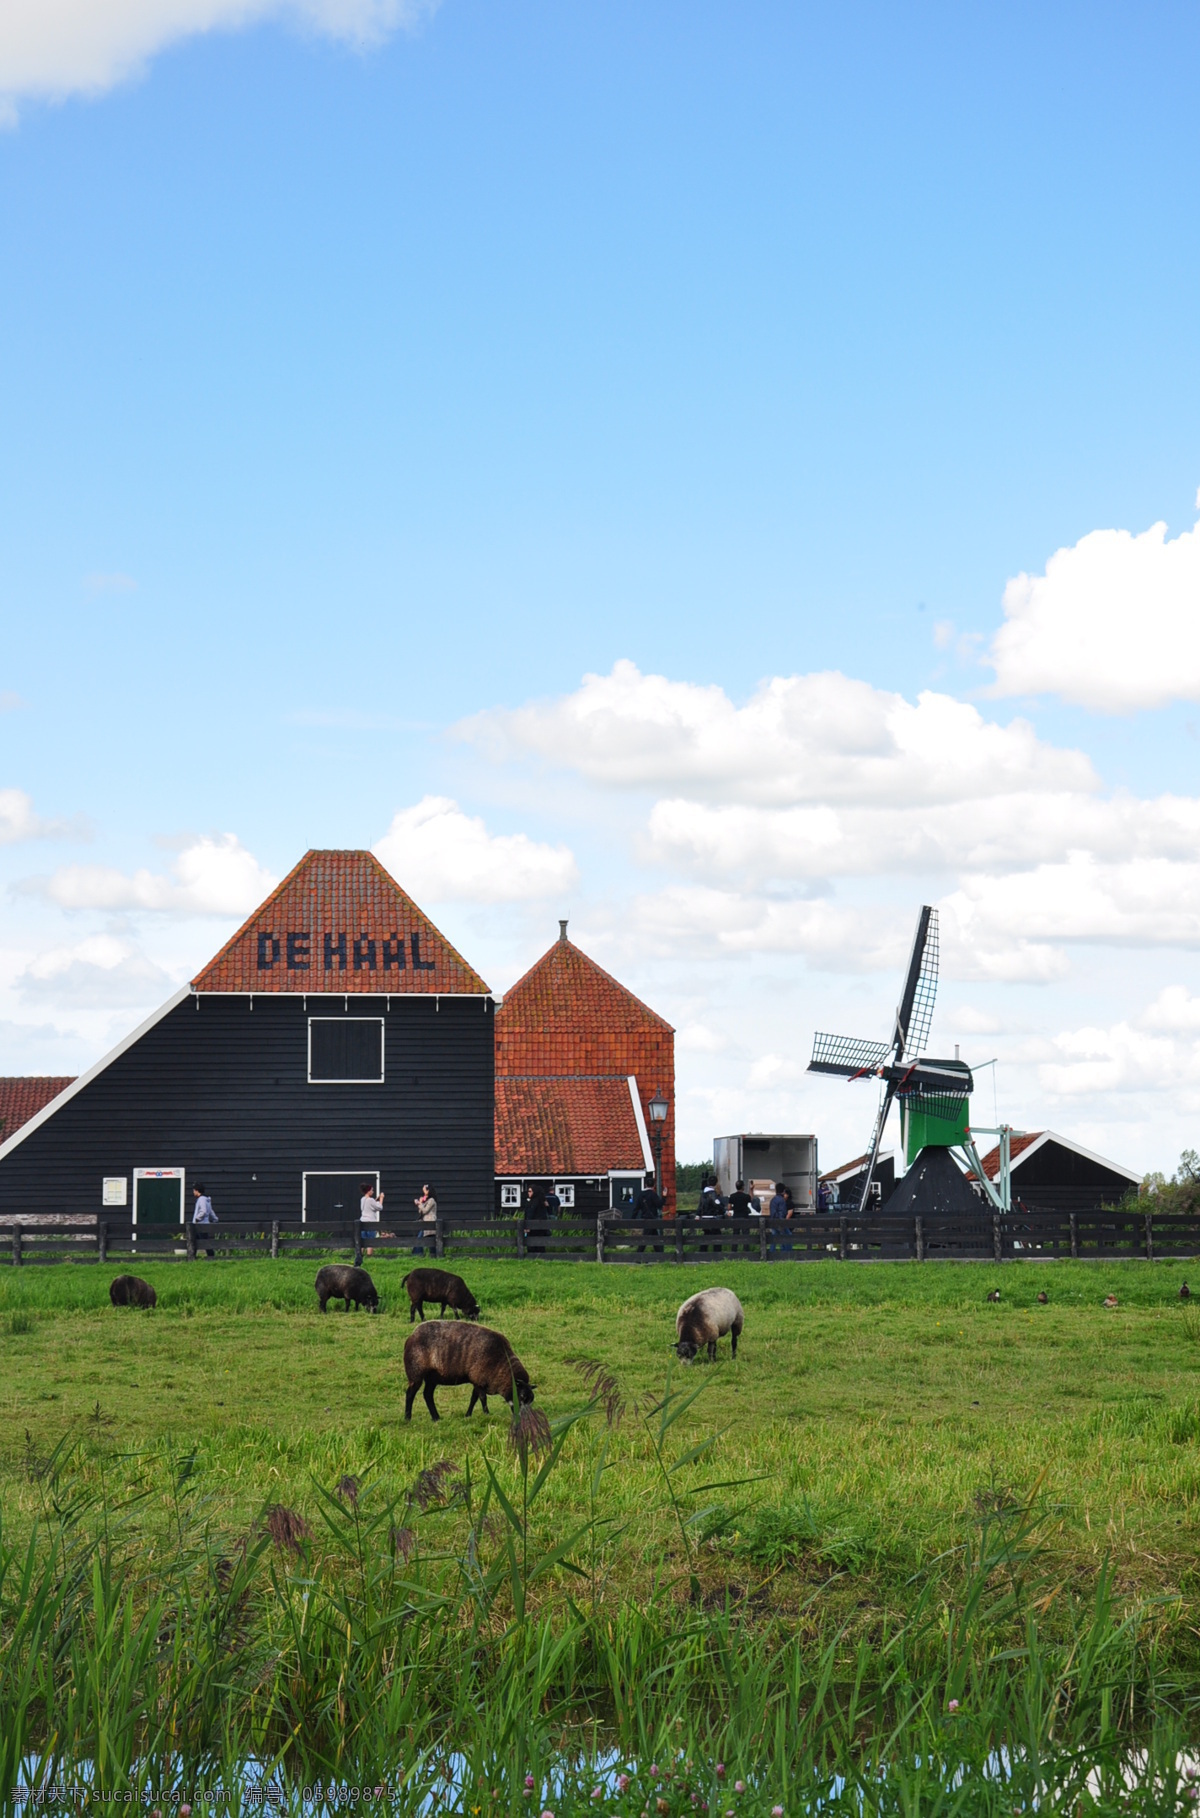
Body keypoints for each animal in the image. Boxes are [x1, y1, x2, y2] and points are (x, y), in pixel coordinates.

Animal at [403, 1323, 534, 1418]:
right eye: (522, 1396)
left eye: (531, 1400)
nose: (525, 1418)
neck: (501, 1364)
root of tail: (411, 1336)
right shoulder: (479, 1380)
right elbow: (483, 1398)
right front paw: (487, 1414)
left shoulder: (477, 1381)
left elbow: (473, 1399)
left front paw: (468, 1415)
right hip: (415, 1373)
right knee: (410, 1394)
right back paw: (408, 1418)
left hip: (432, 1378)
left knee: (428, 1395)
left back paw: (436, 1418)